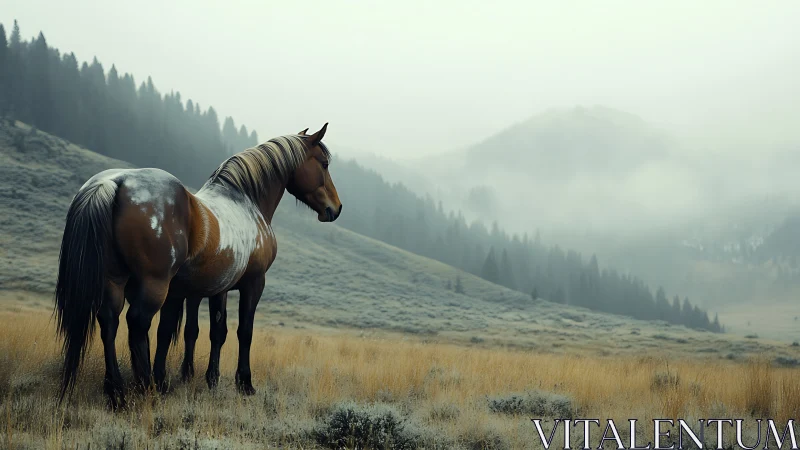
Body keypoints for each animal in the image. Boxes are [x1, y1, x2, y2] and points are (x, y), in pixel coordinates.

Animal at [55, 124, 341, 408]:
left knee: (109, 321)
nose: (335, 208)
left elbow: (213, 331)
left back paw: (117, 392)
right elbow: (244, 331)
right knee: (137, 323)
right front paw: (244, 383)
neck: (246, 202)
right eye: (324, 163)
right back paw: (146, 388)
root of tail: (115, 182)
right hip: (154, 284)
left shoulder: (216, 289)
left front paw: (210, 379)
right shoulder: (253, 283)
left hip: (114, 280)